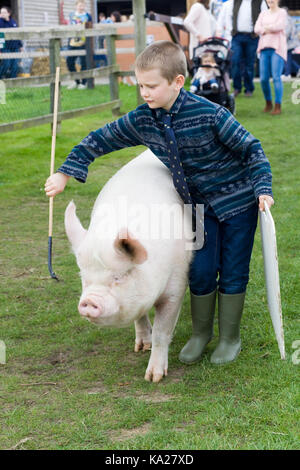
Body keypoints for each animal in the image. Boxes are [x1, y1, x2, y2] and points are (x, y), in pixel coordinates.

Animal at [64, 150, 193, 382]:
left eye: (119, 277)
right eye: (83, 277)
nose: (89, 301)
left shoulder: (177, 284)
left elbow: (162, 331)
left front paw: (153, 378)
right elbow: (140, 317)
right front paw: (141, 348)